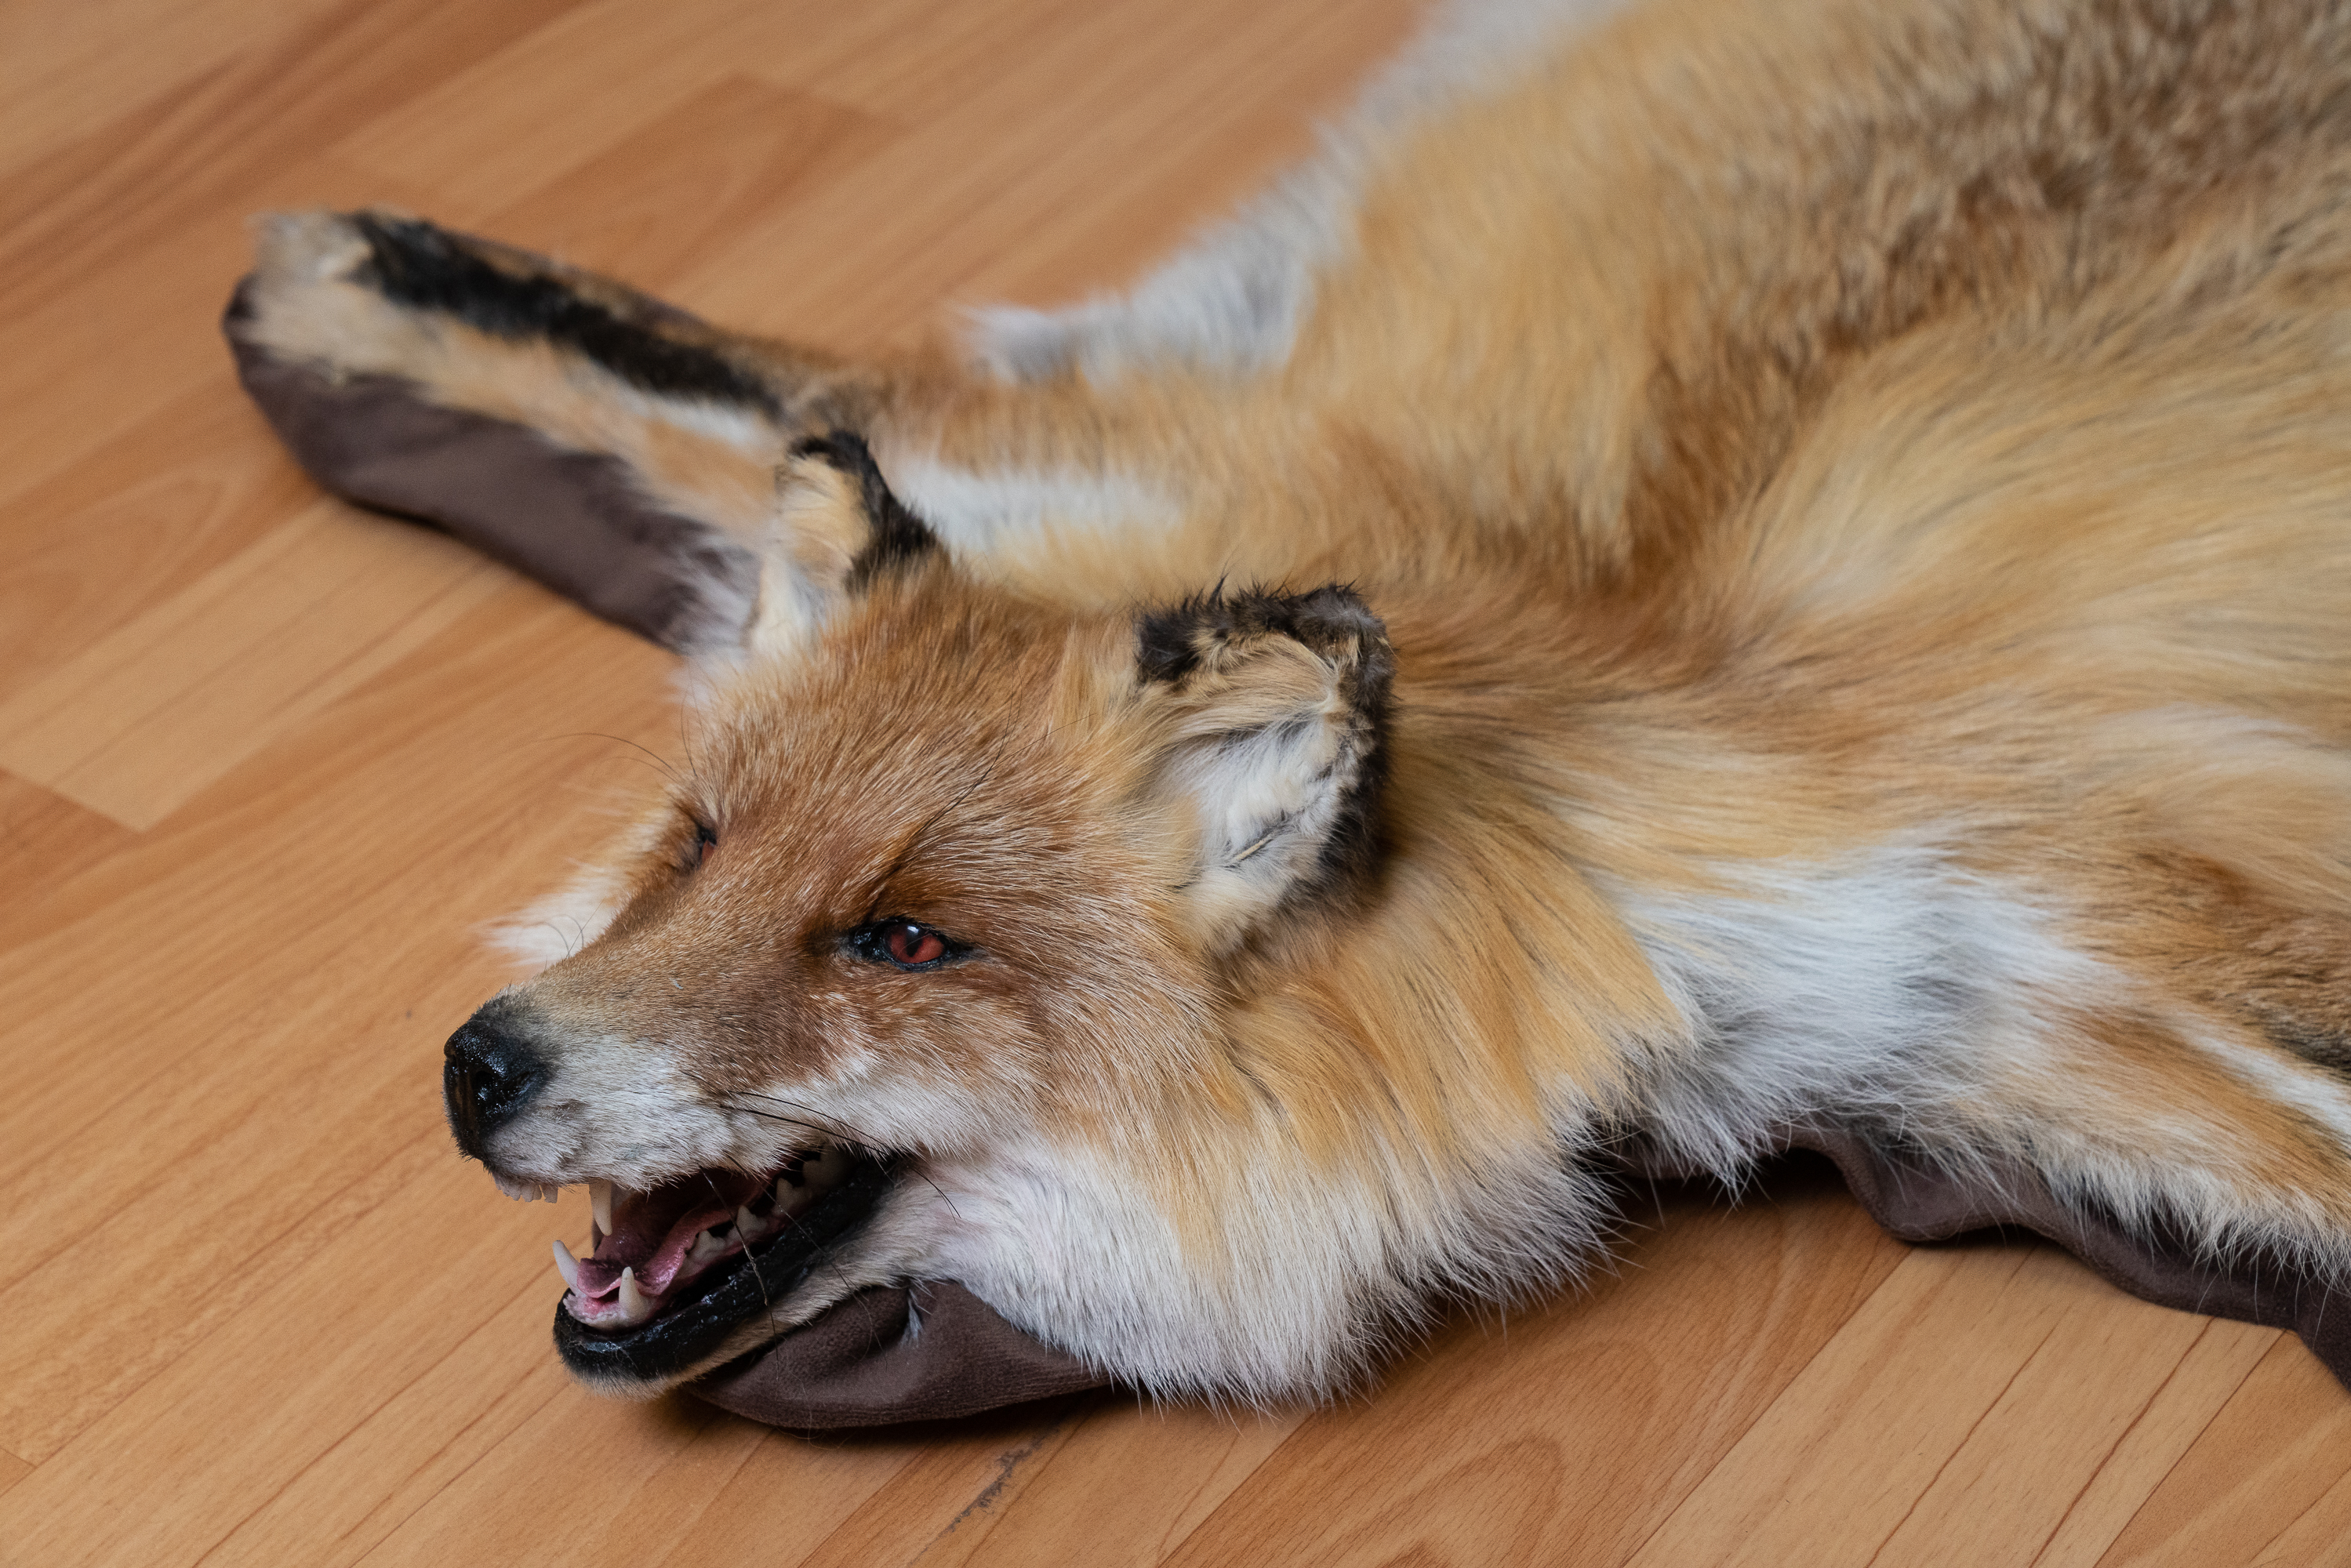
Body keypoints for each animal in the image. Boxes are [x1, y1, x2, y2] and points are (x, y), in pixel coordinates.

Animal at [227, 0, 2351, 1417]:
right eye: (696, 849)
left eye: (901, 940)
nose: (480, 1064)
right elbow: (764, 397)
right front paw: (378, 302)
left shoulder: (2035, 935)